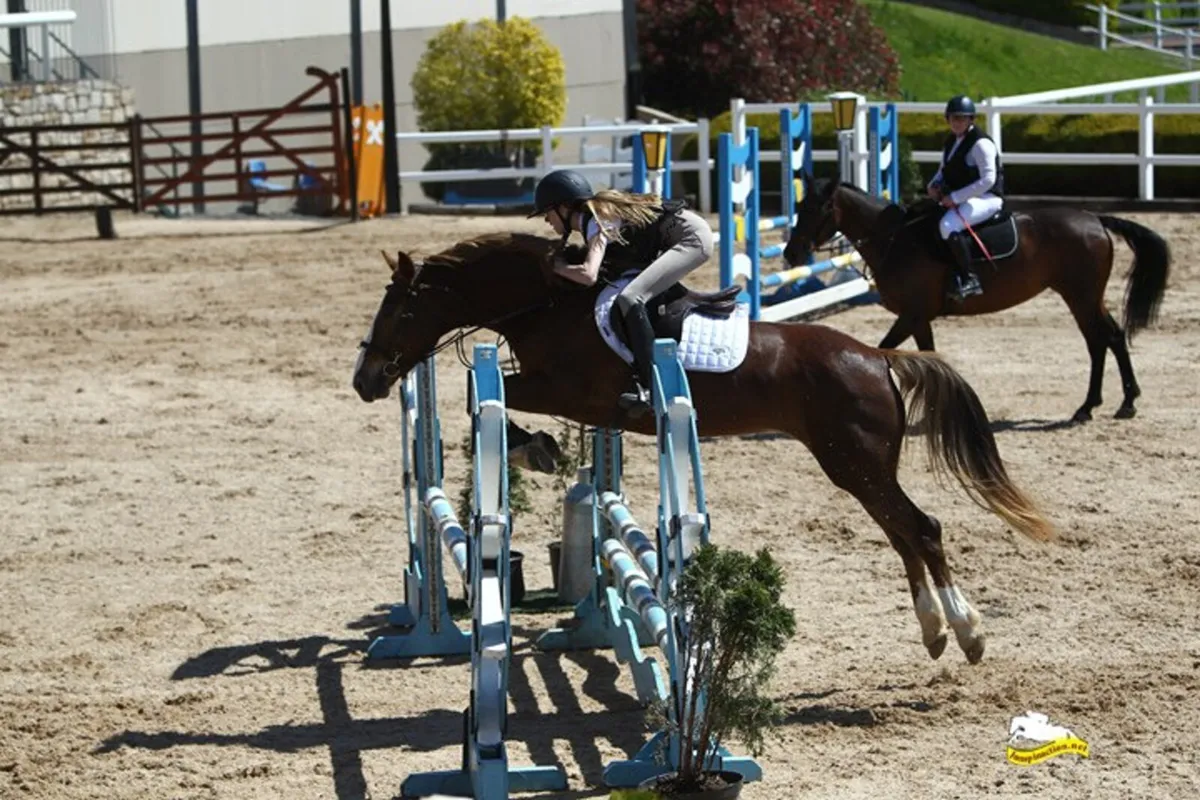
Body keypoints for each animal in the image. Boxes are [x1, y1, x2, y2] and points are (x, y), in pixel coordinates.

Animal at [352, 232, 1057, 665]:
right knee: (903, 533)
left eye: (398, 310)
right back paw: (936, 632)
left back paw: (967, 633)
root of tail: (878, 357)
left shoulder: (571, 392)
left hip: (854, 462)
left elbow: (492, 391)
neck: (549, 301)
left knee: (922, 528)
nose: (366, 380)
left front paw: (536, 448)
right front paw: (540, 448)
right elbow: (488, 390)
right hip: (854, 465)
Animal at [782, 177, 1171, 424]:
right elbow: (927, 355)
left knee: (1102, 339)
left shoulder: (911, 314)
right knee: (1107, 338)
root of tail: (1094, 218)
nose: (790, 254)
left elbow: (885, 349)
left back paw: (1104, 405)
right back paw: (1111, 404)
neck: (894, 239)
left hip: (1081, 295)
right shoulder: (919, 318)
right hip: (1084, 295)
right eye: (799, 206)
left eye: (819, 209)